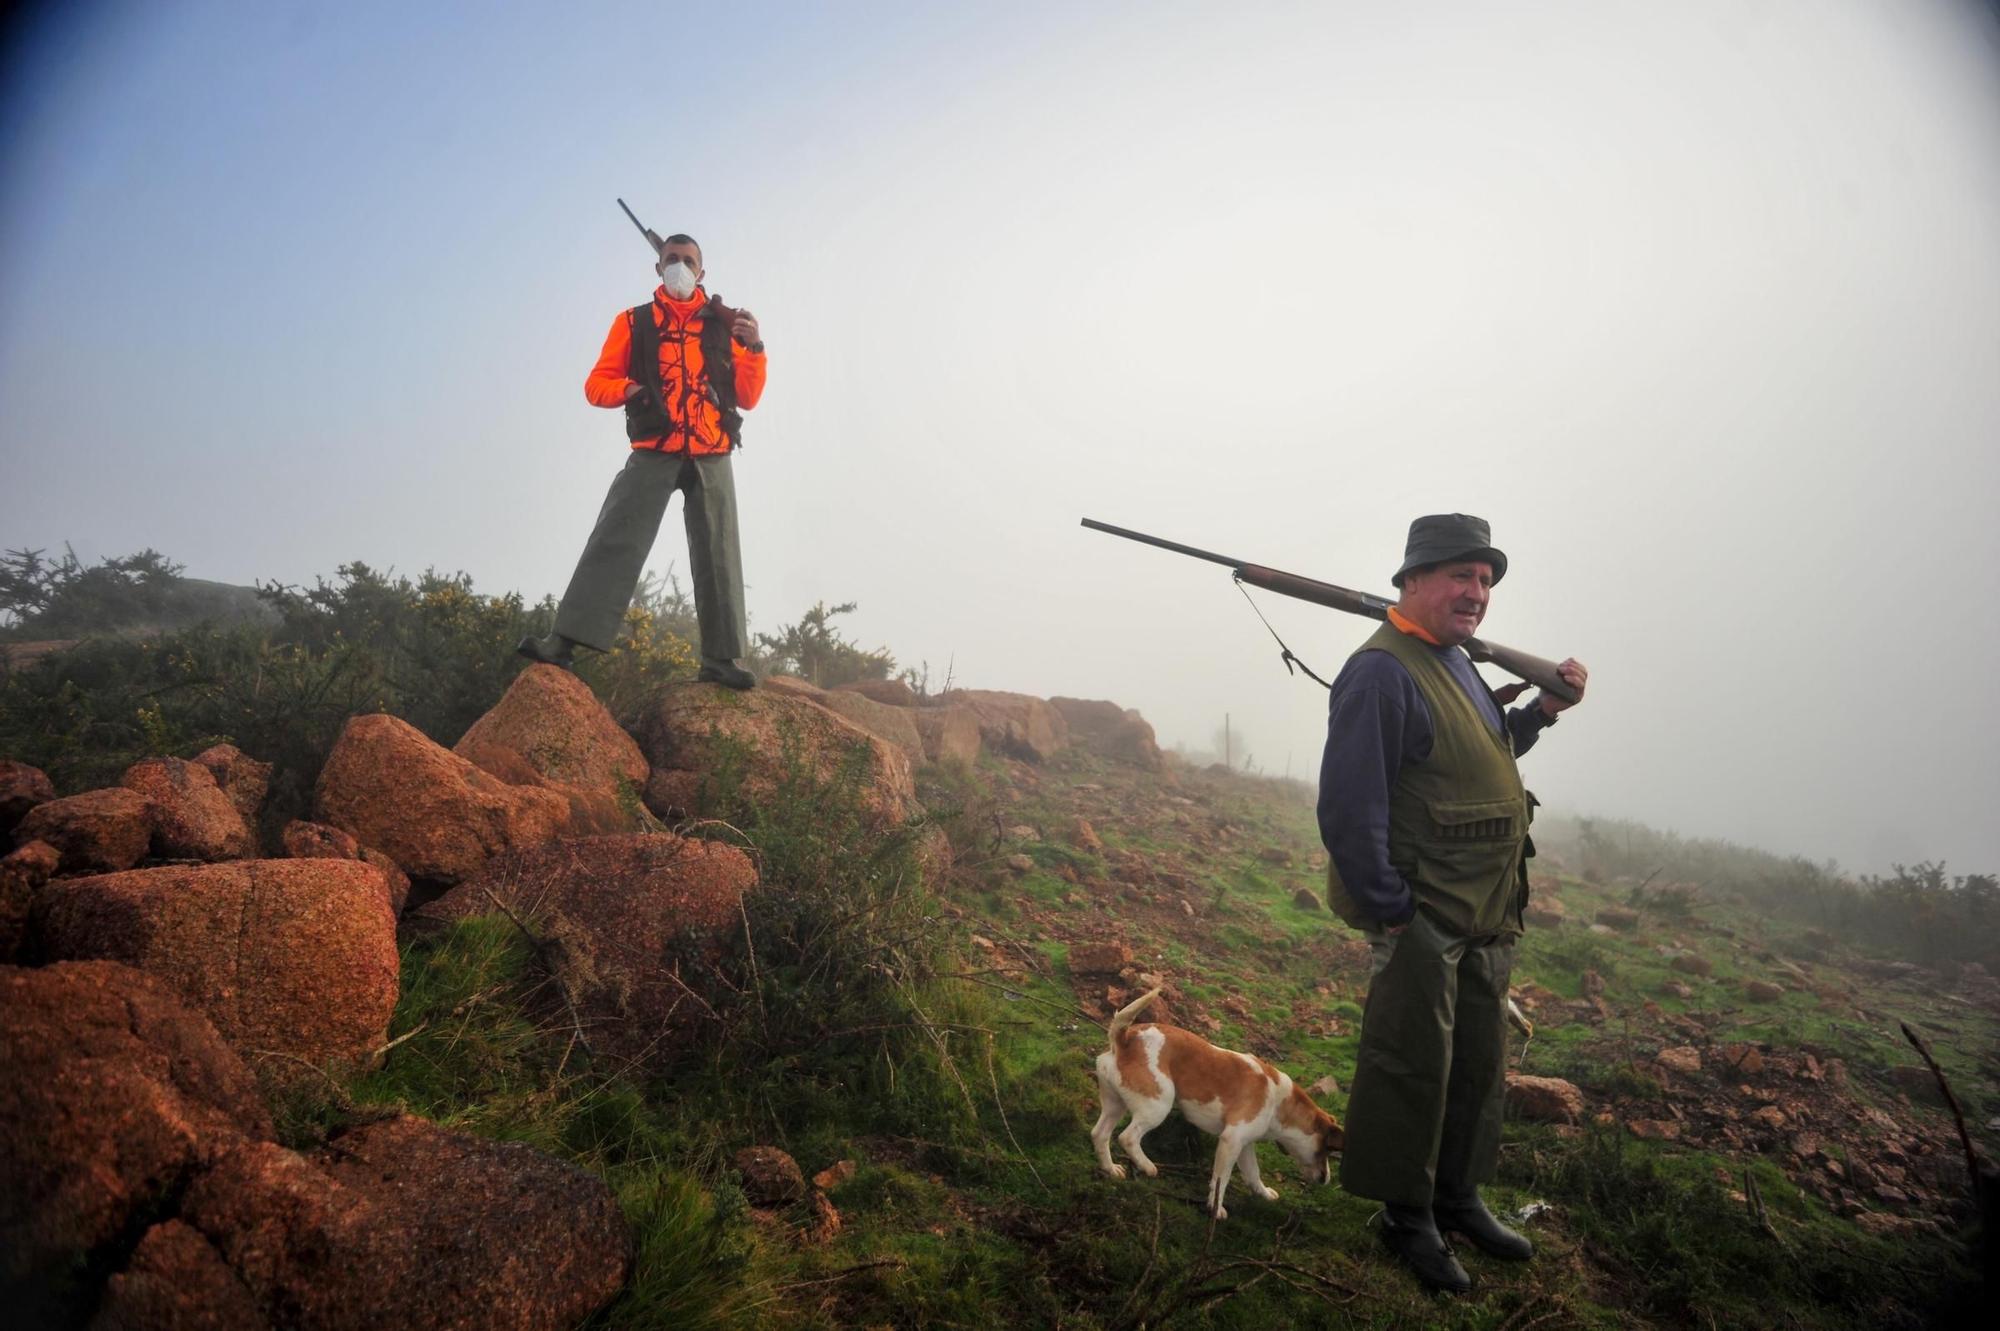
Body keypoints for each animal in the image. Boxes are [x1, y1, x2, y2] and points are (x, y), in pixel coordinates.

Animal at [1096, 983, 1344, 1215]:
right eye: (1326, 1150)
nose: (1326, 1180)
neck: (1279, 1101)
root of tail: (1126, 1038)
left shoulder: (1244, 1145)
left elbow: (1253, 1174)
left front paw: (1263, 1193)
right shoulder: (1230, 1142)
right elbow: (1220, 1181)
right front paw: (1216, 1209)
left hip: (1115, 1107)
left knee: (1099, 1135)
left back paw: (1110, 1169)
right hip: (1157, 1106)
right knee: (1128, 1137)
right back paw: (1147, 1166)